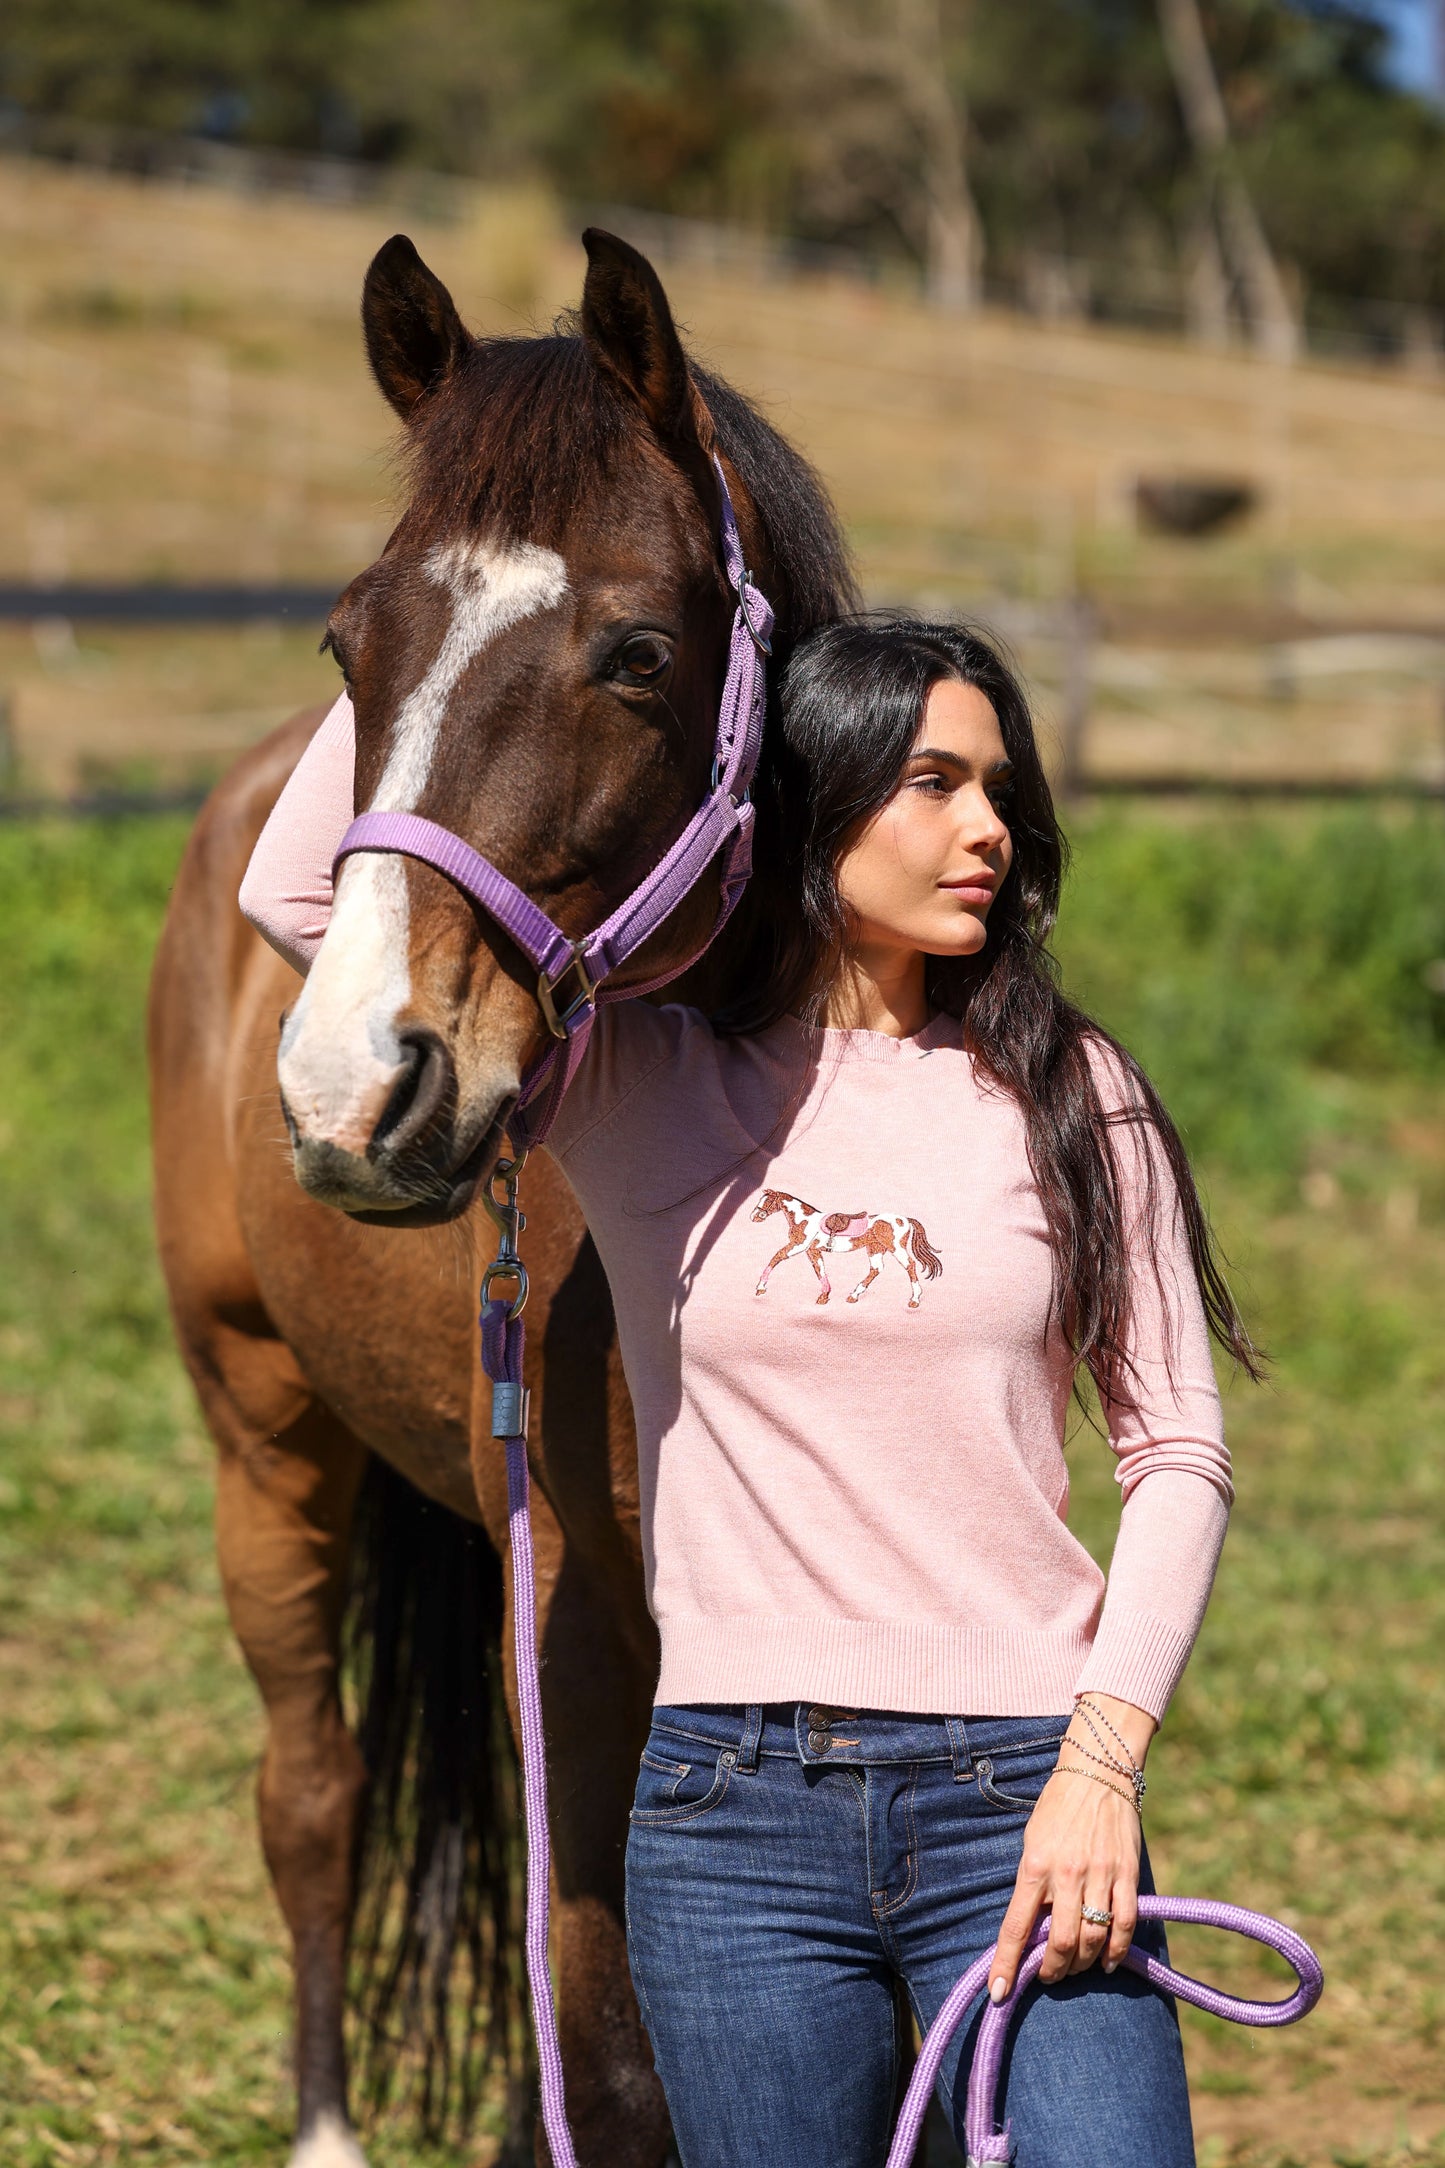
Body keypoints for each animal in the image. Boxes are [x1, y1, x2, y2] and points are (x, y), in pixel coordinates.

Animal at [147, 228, 855, 2167]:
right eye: (352, 638)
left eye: (637, 651)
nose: (350, 1087)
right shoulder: (583, 1612)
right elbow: (610, 2048)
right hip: (263, 1442)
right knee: (313, 1797)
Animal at [751, 1188, 944, 1308]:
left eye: (767, 1200)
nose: (754, 1217)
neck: (804, 1220)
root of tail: (905, 1219)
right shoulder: (812, 1251)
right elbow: (820, 1270)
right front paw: (824, 1296)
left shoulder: (798, 1246)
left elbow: (776, 1257)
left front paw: (760, 1287)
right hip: (875, 1249)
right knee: (876, 1269)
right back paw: (854, 1295)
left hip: (896, 1248)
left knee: (910, 1265)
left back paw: (915, 1300)